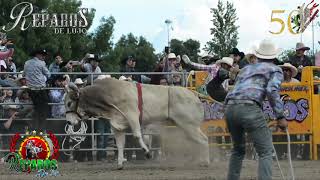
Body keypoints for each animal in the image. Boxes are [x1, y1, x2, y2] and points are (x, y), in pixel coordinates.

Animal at [64, 77, 210, 169]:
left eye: (69, 103)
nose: (69, 121)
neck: (107, 94)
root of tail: (194, 94)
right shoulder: (117, 126)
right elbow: (120, 144)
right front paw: (120, 163)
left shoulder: (132, 116)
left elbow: (137, 135)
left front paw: (147, 153)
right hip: (187, 127)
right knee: (199, 141)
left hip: (189, 125)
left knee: (203, 140)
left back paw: (205, 162)